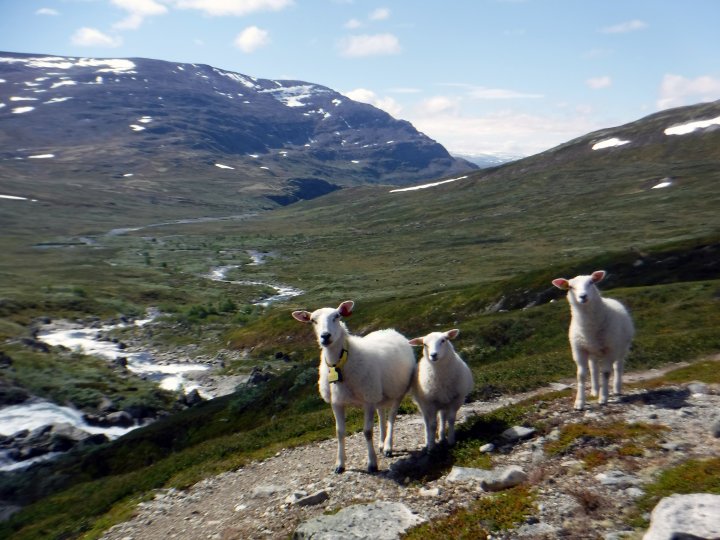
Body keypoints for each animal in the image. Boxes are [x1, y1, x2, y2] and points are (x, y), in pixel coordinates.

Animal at [292, 300, 416, 472]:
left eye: (337, 316)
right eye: (312, 320)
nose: (325, 336)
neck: (340, 362)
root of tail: (391, 331)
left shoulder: (368, 401)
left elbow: (367, 431)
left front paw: (372, 463)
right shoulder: (337, 402)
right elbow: (339, 432)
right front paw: (340, 464)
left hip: (397, 391)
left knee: (391, 417)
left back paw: (388, 446)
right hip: (377, 392)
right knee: (382, 415)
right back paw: (381, 443)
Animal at [552, 270, 636, 410]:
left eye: (591, 282)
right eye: (570, 287)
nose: (583, 296)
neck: (590, 327)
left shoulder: (610, 349)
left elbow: (606, 373)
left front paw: (603, 398)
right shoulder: (579, 350)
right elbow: (580, 375)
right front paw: (579, 402)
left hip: (621, 347)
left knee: (618, 367)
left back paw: (616, 389)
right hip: (593, 351)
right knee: (594, 369)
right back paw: (595, 391)